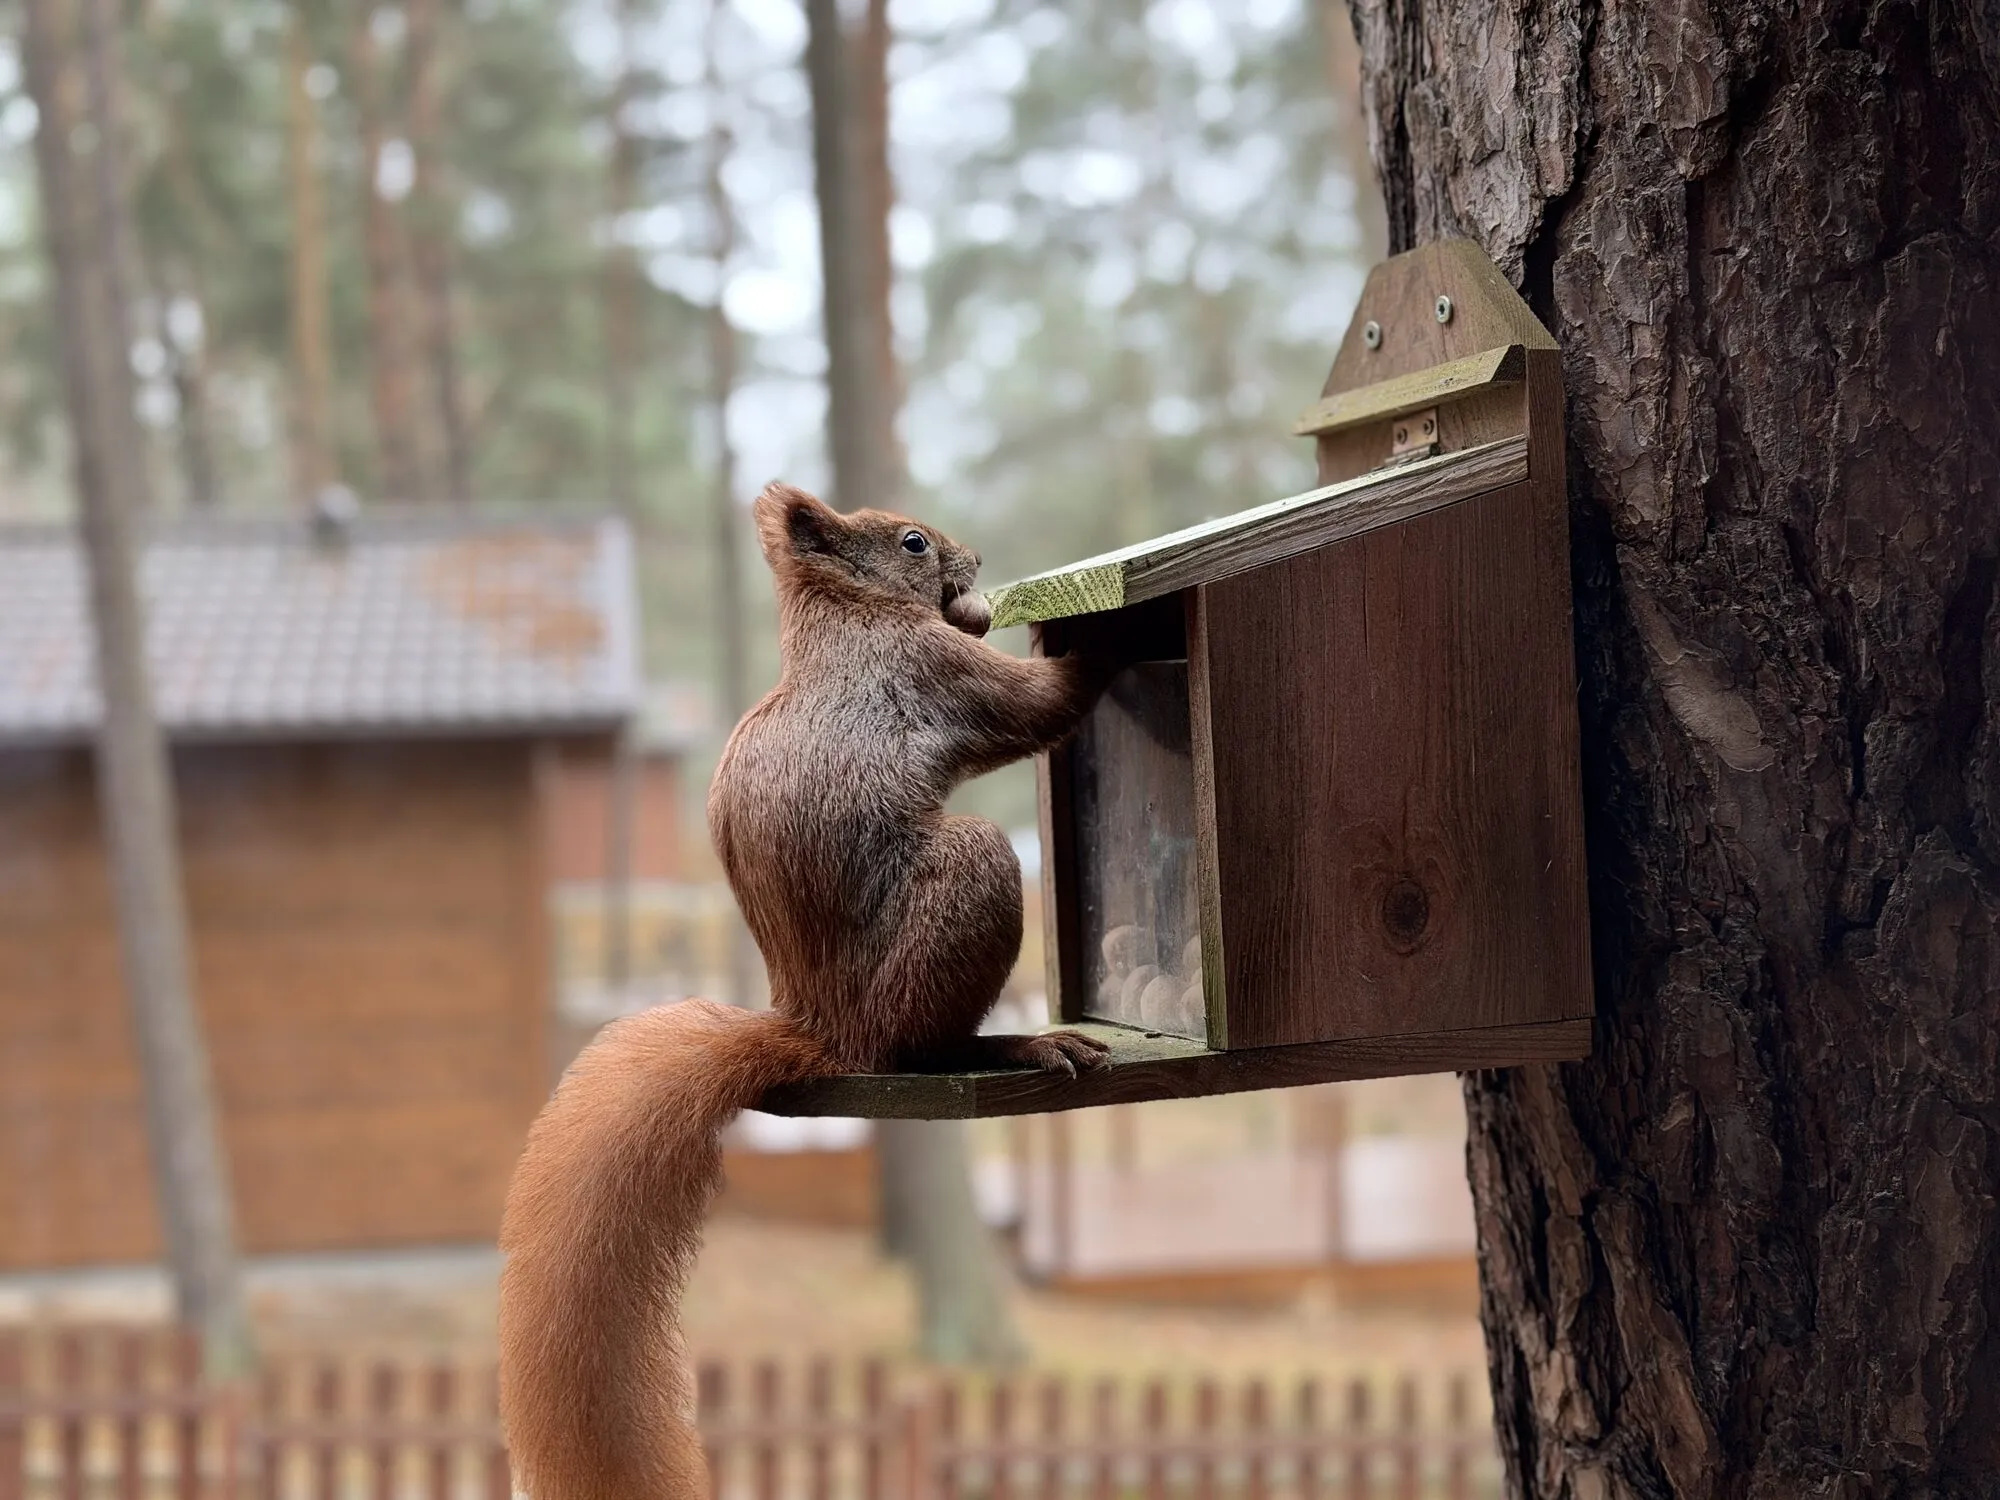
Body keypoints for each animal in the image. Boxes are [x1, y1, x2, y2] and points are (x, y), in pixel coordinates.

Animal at [498, 482, 1114, 1500]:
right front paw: (1090, 633)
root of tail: (821, 1029)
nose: (976, 560)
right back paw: (1021, 1044)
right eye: (913, 541)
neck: (843, 612)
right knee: (921, 1050)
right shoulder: (935, 668)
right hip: (964, 889)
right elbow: (1038, 702)